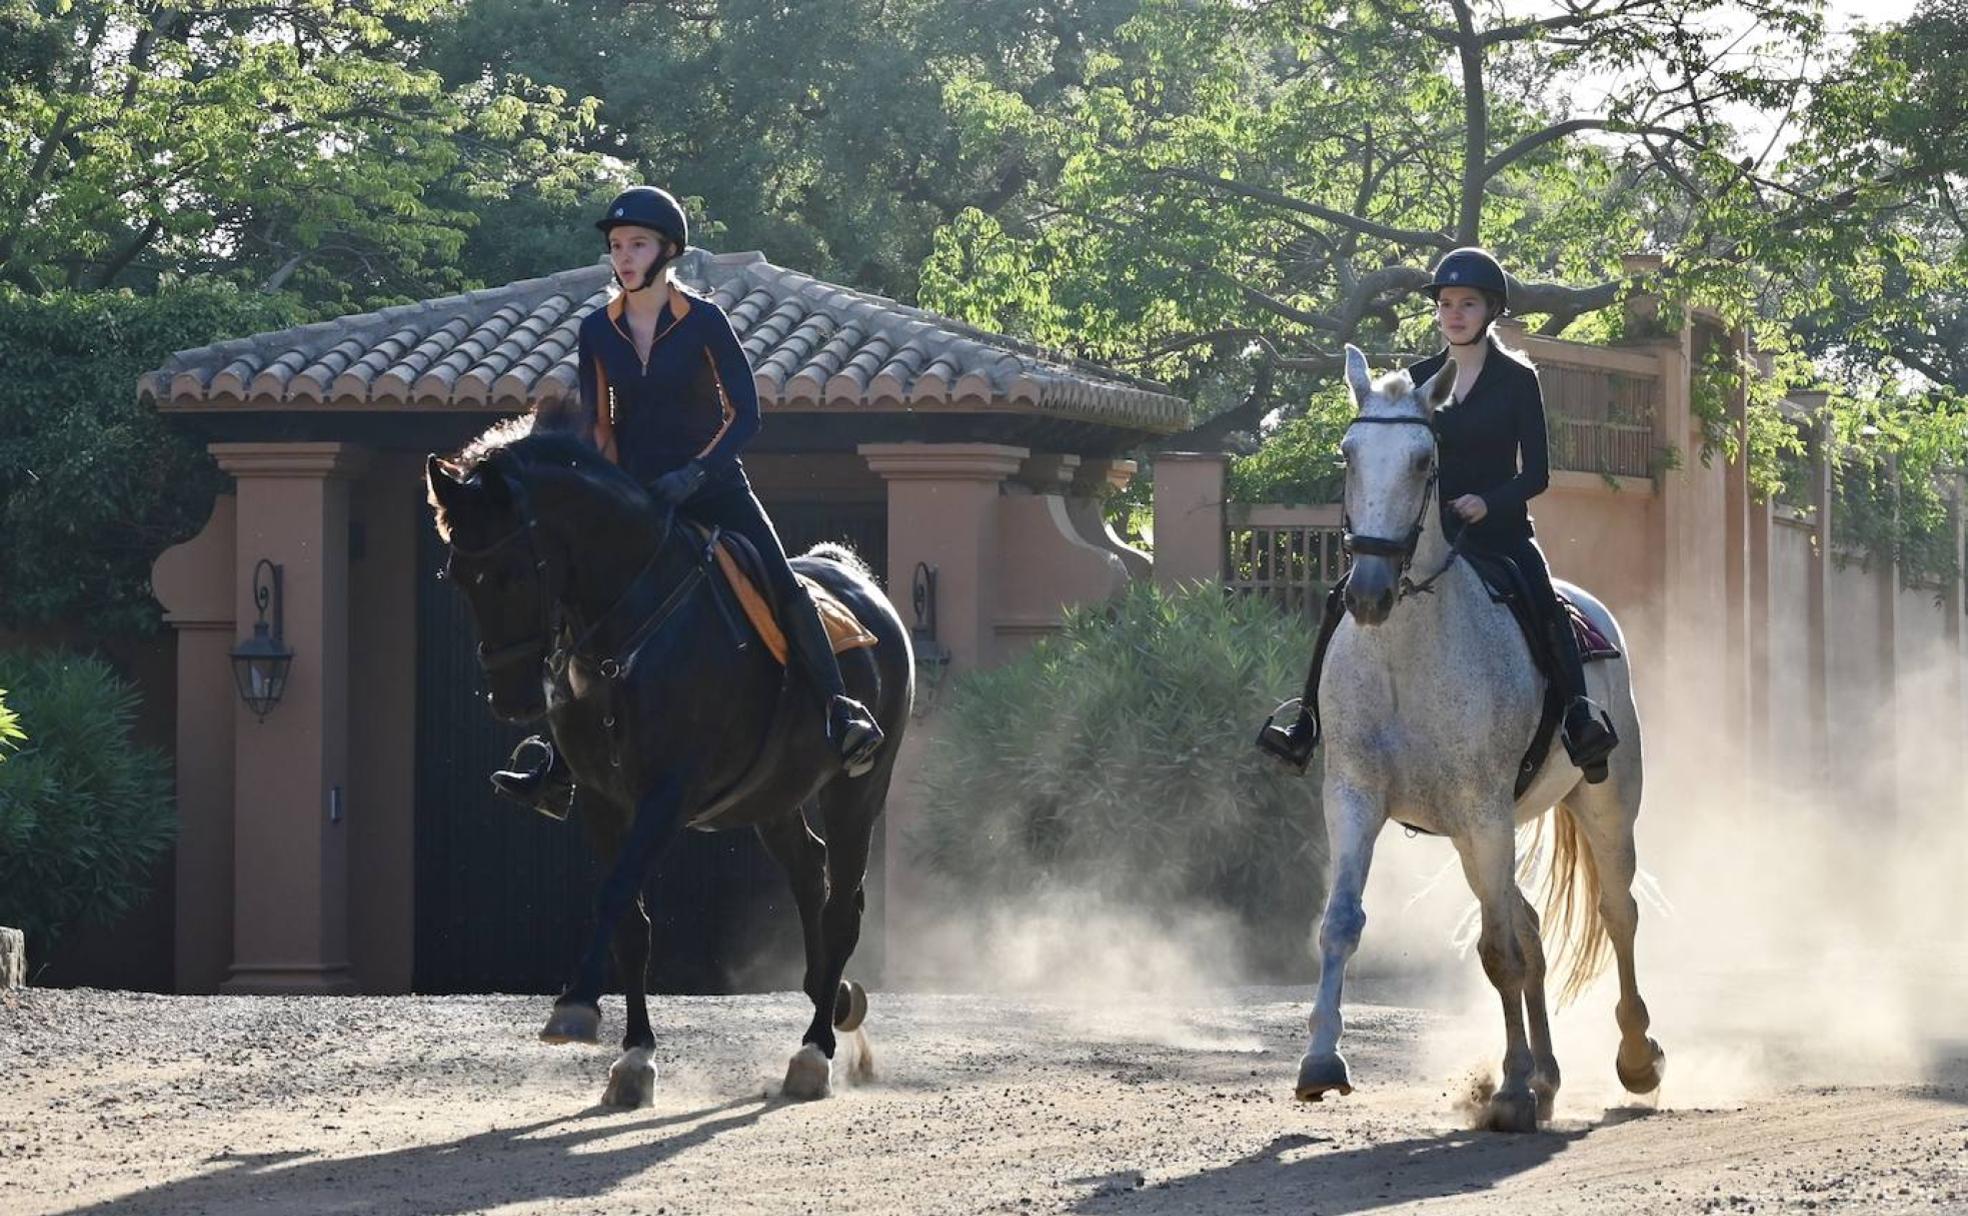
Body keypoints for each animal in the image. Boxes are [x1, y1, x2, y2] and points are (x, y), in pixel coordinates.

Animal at [427, 417, 909, 1101]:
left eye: (512, 572)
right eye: (457, 576)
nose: (513, 699)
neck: (627, 636)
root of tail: (864, 587)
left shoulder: (667, 793)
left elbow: (616, 896)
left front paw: (574, 1007)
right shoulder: (602, 800)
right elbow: (631, 920)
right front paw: (632, 1057)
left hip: (856, 791)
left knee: (841, 904)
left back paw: (815, 1051)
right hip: (772, 795)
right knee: (809, 872)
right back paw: (832, 998)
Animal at [1298, 346, 1668, 1133]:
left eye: (1423, 460)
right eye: (1348, 454)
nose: (1368, 591)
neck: (1405, 656)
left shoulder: (1485, 810)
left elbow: (1500, 953)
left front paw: (1511, 1089)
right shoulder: (1354, 797)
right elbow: (1342, 922)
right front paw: (1320, 1063)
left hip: (1599, 804)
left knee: (1616, 912)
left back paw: (1634, 1059)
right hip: (1477, 838)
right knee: (1529, 926)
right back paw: (1551, 1076)